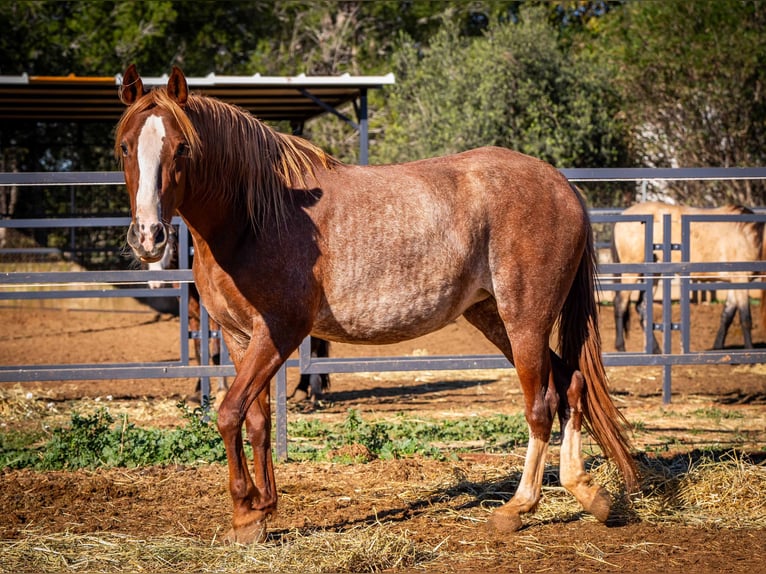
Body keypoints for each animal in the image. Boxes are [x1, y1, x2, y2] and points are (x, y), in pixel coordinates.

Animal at [115, 65, 640, 548]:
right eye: (124, 147)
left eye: (182, 147)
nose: (148, 237)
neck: (253, 218)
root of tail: (561, 185)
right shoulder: (241, 336)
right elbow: (256, 420)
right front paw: (256, 515)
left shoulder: (280, 332)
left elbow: (228, 414)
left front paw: (246, 507)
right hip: (494, 319)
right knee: (572, 385)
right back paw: (588, 493)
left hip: (525, 320)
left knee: (541, 404)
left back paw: (518, 508)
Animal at [612, 202, 766, 356]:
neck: (749, 236)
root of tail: (623, 216)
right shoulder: (741, 279)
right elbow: (745, 318)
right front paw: (750, 352)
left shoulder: (735, 283)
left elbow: (726, 316)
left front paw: (717, 348)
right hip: (631, 272)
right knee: (621, 303)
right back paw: (621, 348)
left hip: (653, 273)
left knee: (642, 307)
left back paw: (656, 350)